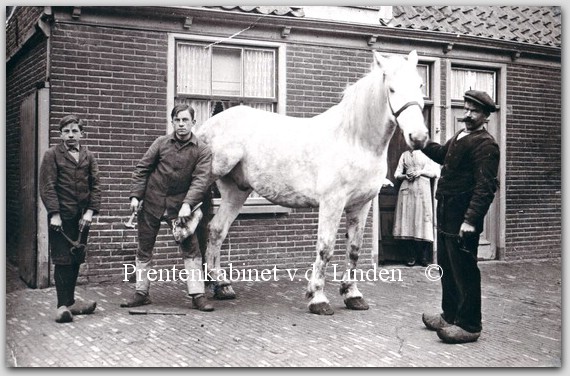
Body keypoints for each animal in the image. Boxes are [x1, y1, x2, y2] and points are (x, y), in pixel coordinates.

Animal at [195, 49, 426, 314]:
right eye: (392, 89)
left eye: (420, 85)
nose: (419, 137)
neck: (355, 139)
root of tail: (207, 125)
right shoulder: (332, 202)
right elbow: (326, 248)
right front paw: (318, 298)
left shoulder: (362, 204)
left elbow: (354, 249)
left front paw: (352, 295)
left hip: (236, 191)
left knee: (216, 230)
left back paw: (222, 285)